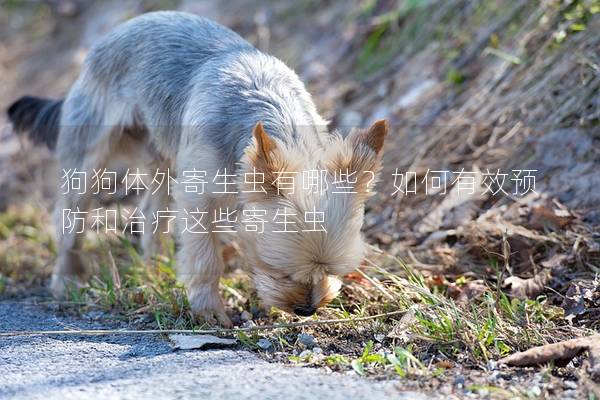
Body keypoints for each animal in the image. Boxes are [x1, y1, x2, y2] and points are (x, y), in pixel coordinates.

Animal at [8, 11, 390, 328]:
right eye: (280, 271)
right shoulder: (198, 197)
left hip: (161, 157)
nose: (307, 310)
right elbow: (206, 257)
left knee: (152, 213)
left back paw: (153, 268)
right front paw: (209, 310)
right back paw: (67, 278)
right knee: (70, 219)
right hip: (89, 156)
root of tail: (114, 32)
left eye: (332, 271)